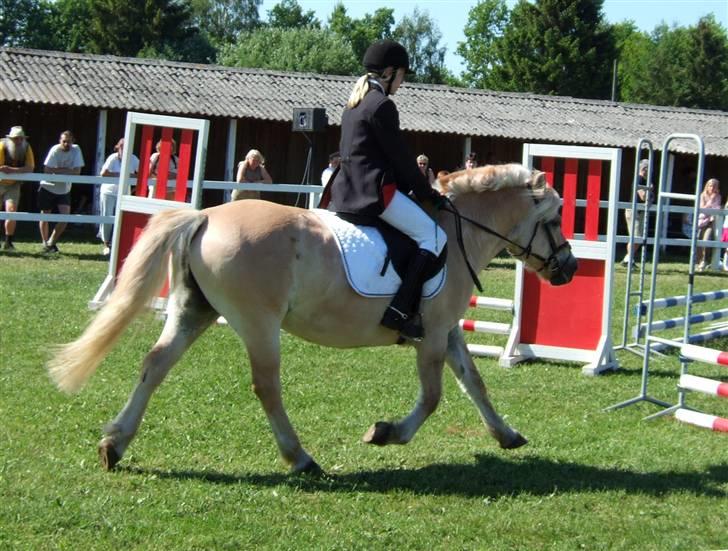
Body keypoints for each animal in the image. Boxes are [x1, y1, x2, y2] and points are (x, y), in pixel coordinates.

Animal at [48, 163, 576, 474]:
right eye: (553, 221)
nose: (569, 268)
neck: (455, 229)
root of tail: (205, 216)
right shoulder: (431, 336)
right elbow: (432, 398)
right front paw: (386, 433)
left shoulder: (446, 332)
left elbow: (475, 383)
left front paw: (507, 435)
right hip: (258, 324)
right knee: (266, 386)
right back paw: (300, 458)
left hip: (193, 311)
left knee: (154, 365)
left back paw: (114, 445)